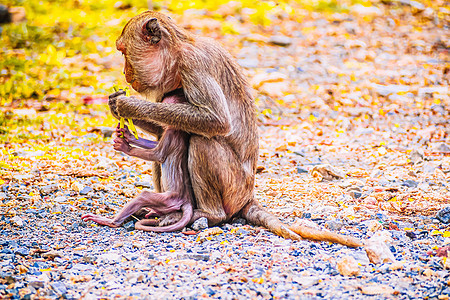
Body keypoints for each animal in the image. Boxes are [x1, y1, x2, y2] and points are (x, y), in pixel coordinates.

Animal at [81, 88, 192, 231]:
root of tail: (186, 201)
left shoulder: (172, 132)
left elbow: (158, 155)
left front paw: (125, 147)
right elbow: (155, 146)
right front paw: (129, 135)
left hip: (170, 200)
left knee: (144, 195)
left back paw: (111, 221)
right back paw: (153, 212)